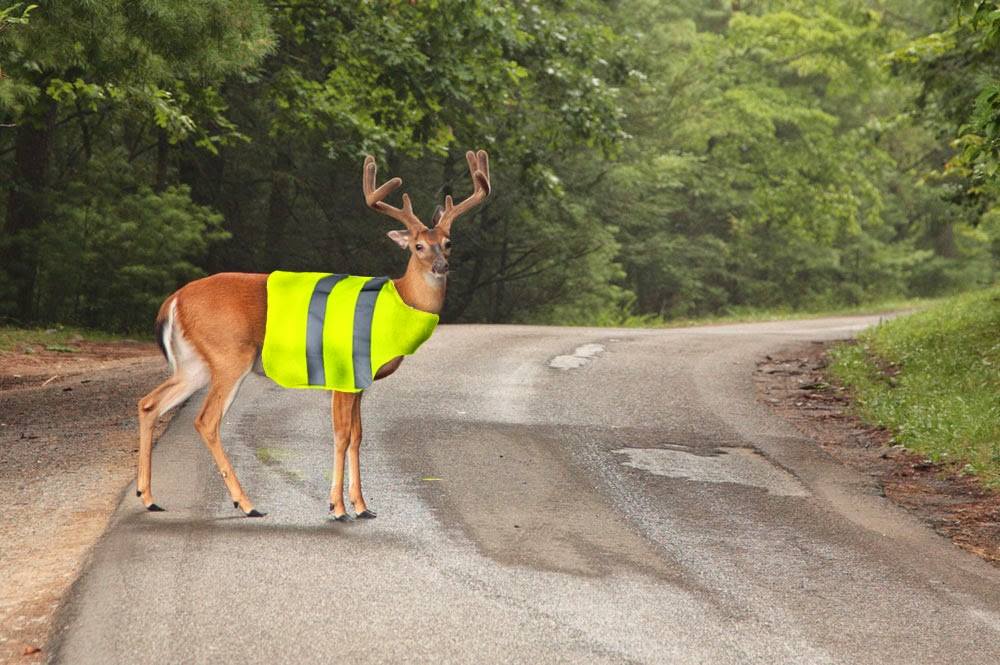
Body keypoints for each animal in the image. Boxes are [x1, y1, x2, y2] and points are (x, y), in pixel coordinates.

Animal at [135, 149, 490, 520]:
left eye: (448, 243)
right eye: (419, 246)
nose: (441, 266)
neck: (396, 304)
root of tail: (174, 300)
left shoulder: (360, 381)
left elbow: (359, 436)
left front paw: (362, 506)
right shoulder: (344, 372)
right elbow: (342, 435)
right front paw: (338, 507)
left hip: (194, 363)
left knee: (149, 403)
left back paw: (149, 497)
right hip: (229, 355)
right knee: (206, 421)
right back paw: (246, 504)